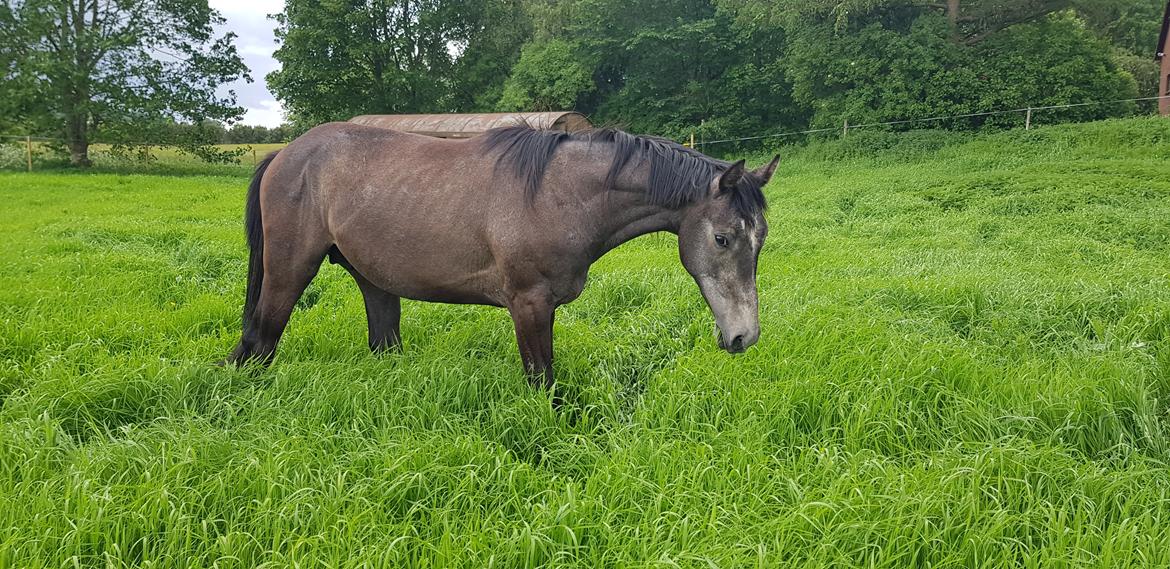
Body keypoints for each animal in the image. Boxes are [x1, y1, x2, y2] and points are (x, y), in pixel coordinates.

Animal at [225, 120, 776, 395]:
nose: (744, 336)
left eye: (761, 240)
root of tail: (285, 154)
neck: (559, 195)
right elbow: (542, 383)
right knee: (257, 344)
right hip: (288, 274)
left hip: (374, 283)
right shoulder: (528, 305)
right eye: (723, 239)